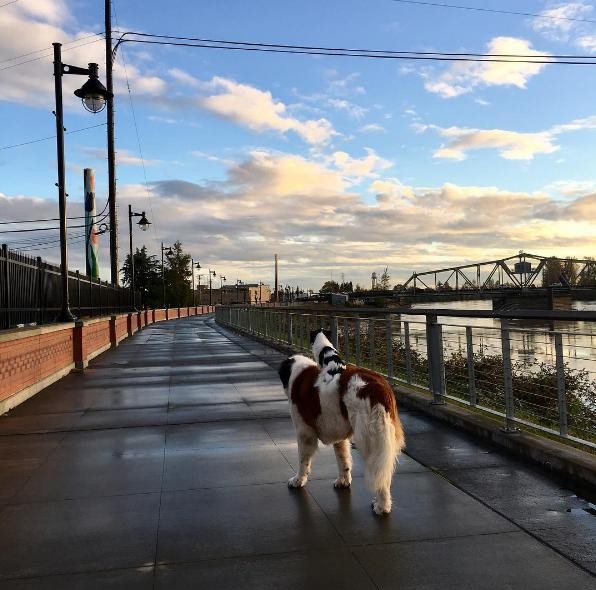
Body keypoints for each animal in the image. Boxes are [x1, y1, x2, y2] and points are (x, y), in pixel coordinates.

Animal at [280, 330, 406, 516]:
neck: (298, 377)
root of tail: (378, 388)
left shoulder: (304, 432)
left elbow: (303, 460)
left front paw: (298, 480)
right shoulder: (339, 435)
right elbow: (343, 459)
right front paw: (344, 481)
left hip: (370, 439)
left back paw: (382, 506)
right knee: (384, 473)